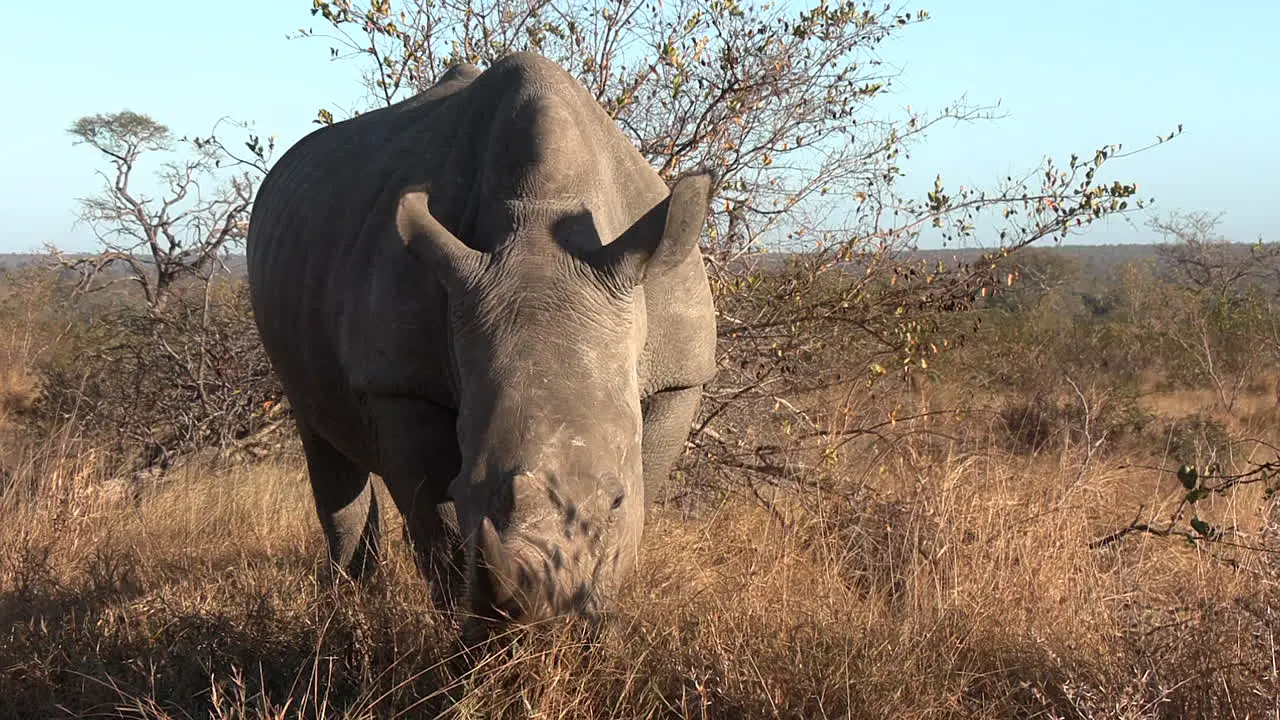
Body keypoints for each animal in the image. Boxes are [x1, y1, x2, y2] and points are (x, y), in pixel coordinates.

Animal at [244, 51, 716, 632]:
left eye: (617, 501)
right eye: (468, 487)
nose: (547, 619)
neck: (541, 218)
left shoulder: (681, 374)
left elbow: (647, 476)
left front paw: (601, 619)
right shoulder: (398, 382)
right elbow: (438, 525)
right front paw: (465, 639)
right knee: (322, 438)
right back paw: (348, 604)